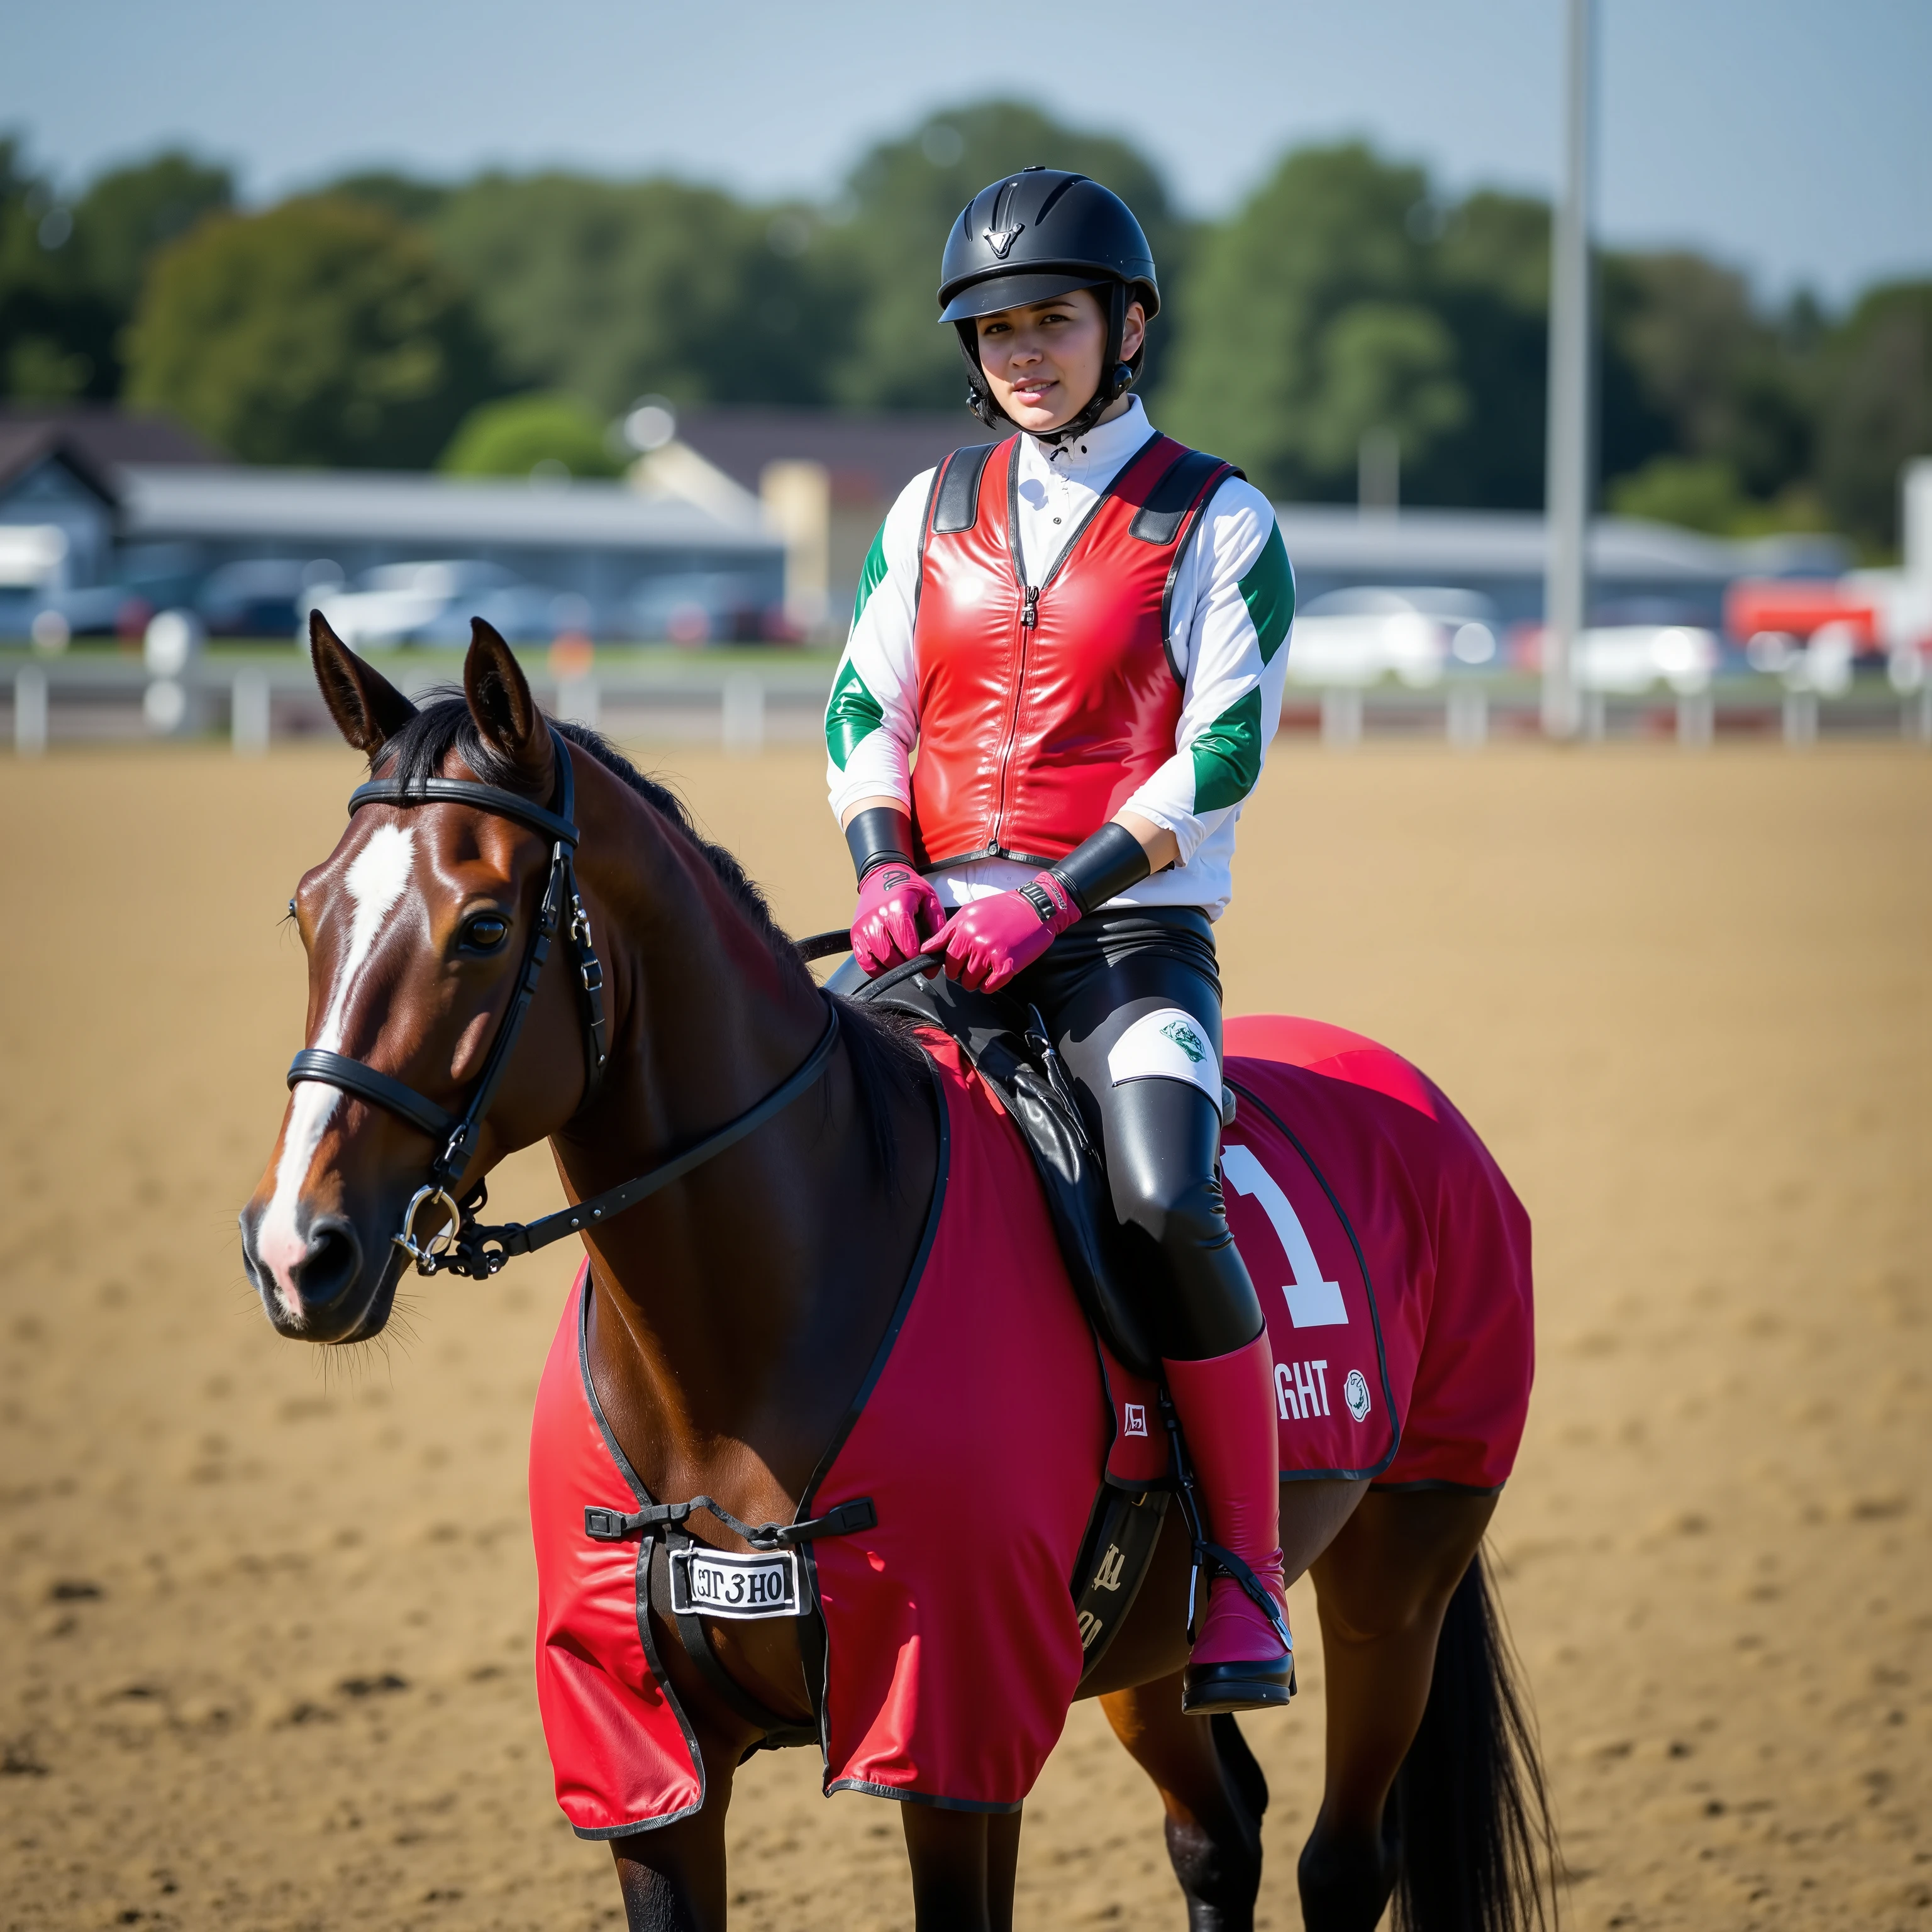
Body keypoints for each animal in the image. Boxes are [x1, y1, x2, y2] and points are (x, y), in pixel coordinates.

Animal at [239, 615, 1554, 1932]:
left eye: (480, 926)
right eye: (304, 910)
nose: (297, 1248)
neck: (752, 1343)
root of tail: (1412, 1093)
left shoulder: (949, 1733)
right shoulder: (647, 1763)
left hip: (1404, 1563)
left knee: (1343, 1858)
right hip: (1145, 1653)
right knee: (1217, 1838)